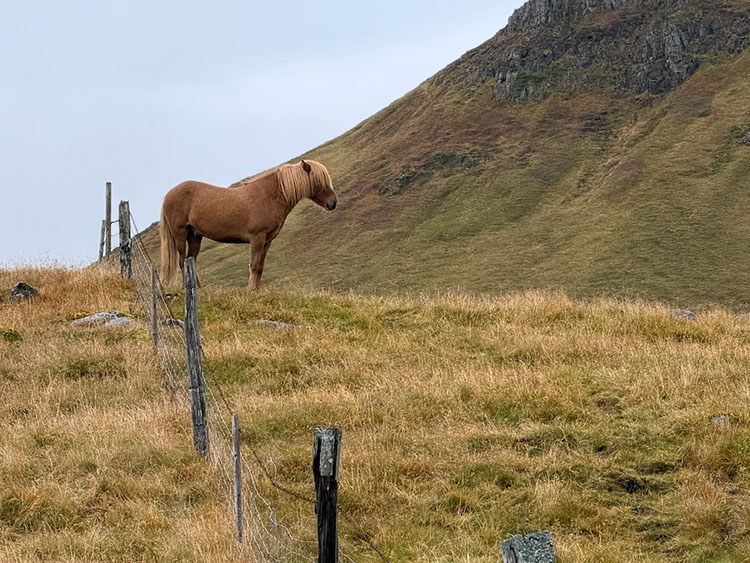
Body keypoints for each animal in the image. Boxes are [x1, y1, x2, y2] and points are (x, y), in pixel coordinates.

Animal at [159, 159, 337, 290]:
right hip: (180, 235)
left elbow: (260, 267)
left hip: (195, 236)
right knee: (182, 261)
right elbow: (254, 264)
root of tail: (168, 194)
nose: (333, 203)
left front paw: (256, 290)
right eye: (318, 182)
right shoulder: (257, 238)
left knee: (191, 261)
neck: (269, 196)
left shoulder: (267, 241)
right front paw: (250, 290)